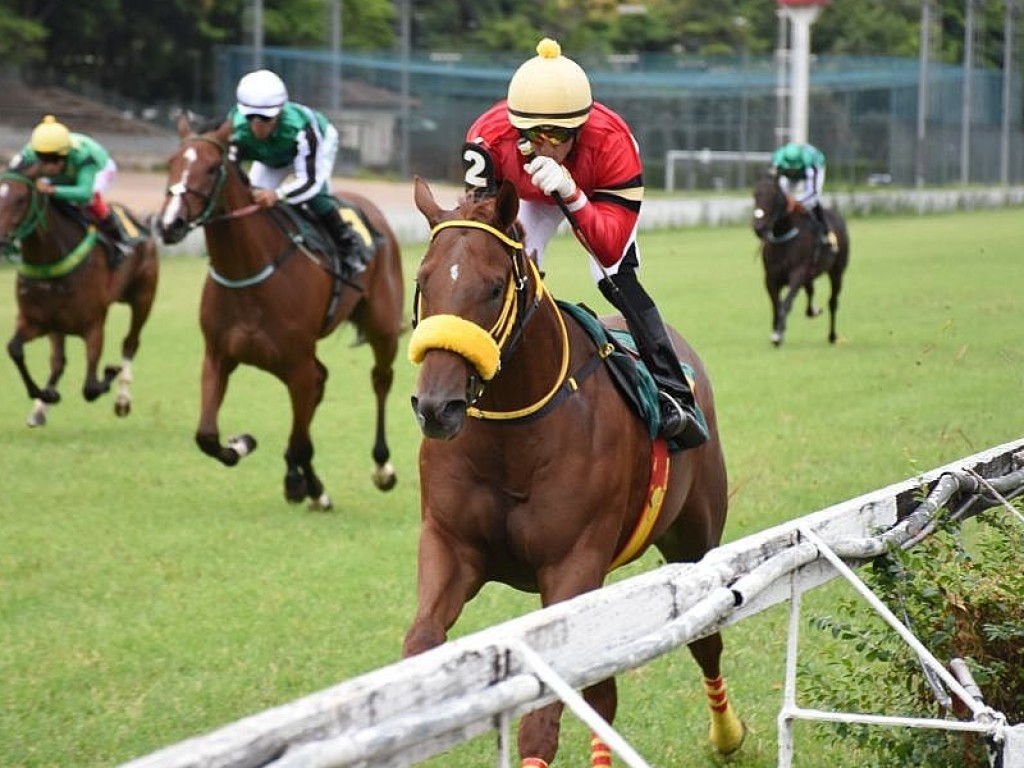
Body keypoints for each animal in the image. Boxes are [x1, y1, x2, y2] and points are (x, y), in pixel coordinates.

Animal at [0, 166, 158, 428]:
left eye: (21, 199)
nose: (1, 238)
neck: (51, 257)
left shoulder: (94, 325)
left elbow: (91, 387)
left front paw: (111, 371)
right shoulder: (36, 321)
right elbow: (15, 348)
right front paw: (45, 395)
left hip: (143, 297)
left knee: (130, 343)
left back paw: (122, 399)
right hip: (58, 326)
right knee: (58, 362)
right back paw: (41, 408)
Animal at [155, 115, 403, 512]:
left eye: (211, 168)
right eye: (171, 163)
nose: (170, 224)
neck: (248, 271)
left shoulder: (297, 365)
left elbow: (300, 439)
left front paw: (307, 486)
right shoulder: (219, 355)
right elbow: (207, 436)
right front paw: (243, 444)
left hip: (382, 327)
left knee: (380, 380)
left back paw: (381, 467)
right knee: (322, 383)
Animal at [401, 177, 745, 765]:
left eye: (493, 287)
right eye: (423, 281)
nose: (436, 407)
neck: (511, 438)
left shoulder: (573, 563)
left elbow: (544, 718)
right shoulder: (449, 544)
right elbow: (420, 645)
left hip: (693, 537)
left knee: (706, 638)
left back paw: (727, 735)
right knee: (604, 691)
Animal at [753, 174, 847, 348]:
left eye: (774, 195)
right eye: (754, 194)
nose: (759, 228)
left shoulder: (797, 273)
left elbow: (786, 302)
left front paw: (779, 334)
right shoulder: (770, 278)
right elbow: (776, 304)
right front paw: (776, 331)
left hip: (837, 272)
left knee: (833, 302)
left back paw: (832, 336)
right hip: (810, 273)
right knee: (811, 291)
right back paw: (813, 311)